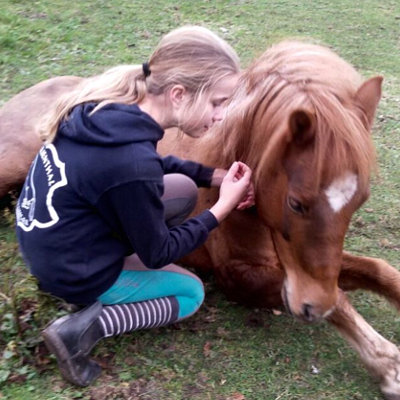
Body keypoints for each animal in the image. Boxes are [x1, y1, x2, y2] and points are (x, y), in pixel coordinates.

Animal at [0, 39, 400, 396]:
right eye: (296, 203)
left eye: (359, 201)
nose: (314, 305)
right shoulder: (240, 277)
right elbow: (341, 300)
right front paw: (387, 365)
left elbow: (377, 272)